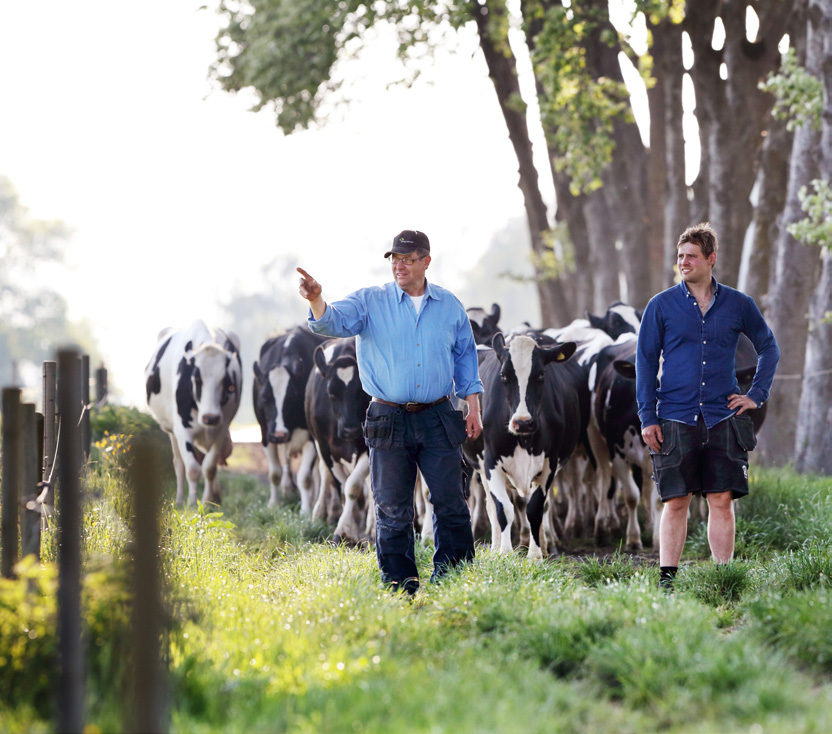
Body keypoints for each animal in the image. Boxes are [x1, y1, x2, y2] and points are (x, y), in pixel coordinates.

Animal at [145, 322, 242, 506]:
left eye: (227, 382)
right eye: (197, 379)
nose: (210, 417)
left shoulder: (221, 428)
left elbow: (209, 468)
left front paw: (206, 503)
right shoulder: (182, 430)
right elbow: (192, 469)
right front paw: (191, 504)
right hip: (172, 431)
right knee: (179, 464)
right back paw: (180, 500)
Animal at [252, 328, 330, 512]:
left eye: (292, 397)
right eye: (265, 397)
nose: (280, 434)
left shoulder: (311, 439)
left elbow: (305, 478)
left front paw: (306, 510)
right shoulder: (266, 435)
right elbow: (274, 473)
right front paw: (274, 504)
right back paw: (287, 488)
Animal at [306, 340, 370, 548]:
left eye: (362, 392)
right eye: (331, 392)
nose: (350, 429)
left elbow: (353, 486)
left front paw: (347, 531)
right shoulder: (326, 448)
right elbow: (341, 486)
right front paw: (346, 529)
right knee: (325, 475)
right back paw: (319, 514)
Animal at [474, 336, 584, 560]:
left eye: (540, 375)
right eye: (503, 376)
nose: (523, 423)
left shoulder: (550, 463)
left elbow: (535, 509)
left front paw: (535, 557)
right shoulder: (490, 463)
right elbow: (503, 509)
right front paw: (504, 554)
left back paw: (546, 546)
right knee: (492, 506)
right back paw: (495, 547)